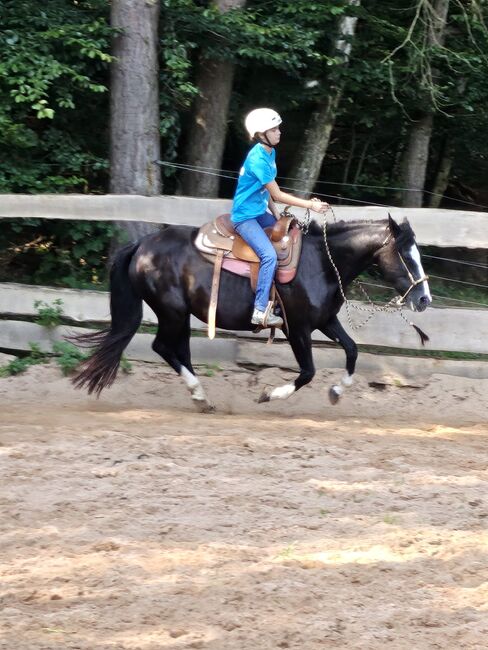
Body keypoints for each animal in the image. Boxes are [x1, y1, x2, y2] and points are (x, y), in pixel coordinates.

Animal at [71, 216, 430, 410]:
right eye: (406, 255)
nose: (424, 299)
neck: (322, 263)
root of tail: (142, 246)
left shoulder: (325, 321)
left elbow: (352, 350)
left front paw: (336, 392)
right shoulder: (297, 328)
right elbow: (307, 372)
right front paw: (269, 394)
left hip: (181, 315)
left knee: (178, 350)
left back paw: (202, 398)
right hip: (171, 312)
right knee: (162, 347)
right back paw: (199, 394)